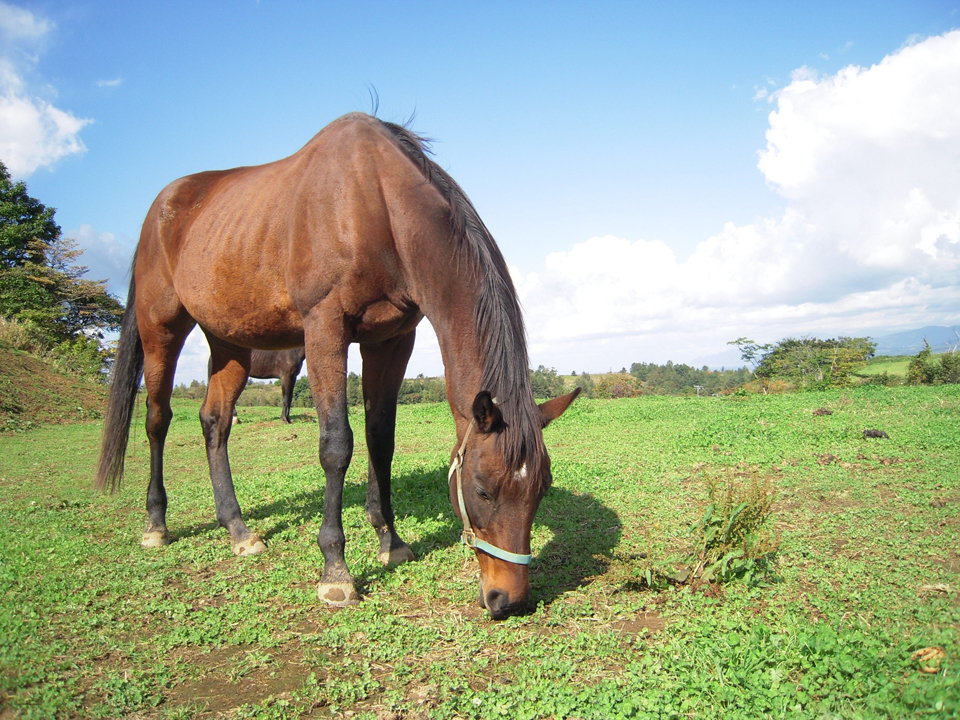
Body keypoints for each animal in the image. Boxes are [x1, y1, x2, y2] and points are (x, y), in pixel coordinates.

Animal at [95, 112, 576, 620]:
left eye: (542, 487)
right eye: (482, 489)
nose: (509, 600)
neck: (375, 205)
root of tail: (162, 207)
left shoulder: (391, 340)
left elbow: (380, 440)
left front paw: (390, 541)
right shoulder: (324, 327)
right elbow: (336, 446)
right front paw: (336, 571)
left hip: (230, 342)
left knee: (215, 422)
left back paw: (238, 530)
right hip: (161, 330)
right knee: (158, 420)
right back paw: (156, 524)